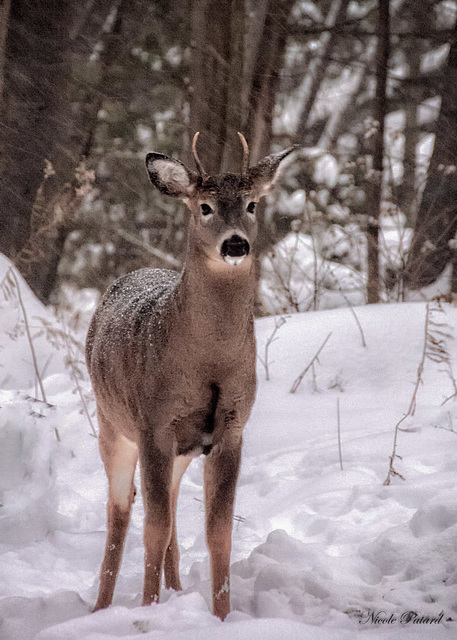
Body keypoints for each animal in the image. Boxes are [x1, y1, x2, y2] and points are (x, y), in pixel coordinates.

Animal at [85, 134, 296, 620]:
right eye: (205, 207)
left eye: (252, 204)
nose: (235, 245)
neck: (208, 365)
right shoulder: (154, 423)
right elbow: (154, 527)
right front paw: (147, 611)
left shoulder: (232, 427)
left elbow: (218, 530)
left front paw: (221, 616)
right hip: (112, 425)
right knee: (121, 509)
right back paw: (102, 608)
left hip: (180, 449)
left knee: (172, 507)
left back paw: (177, 589)